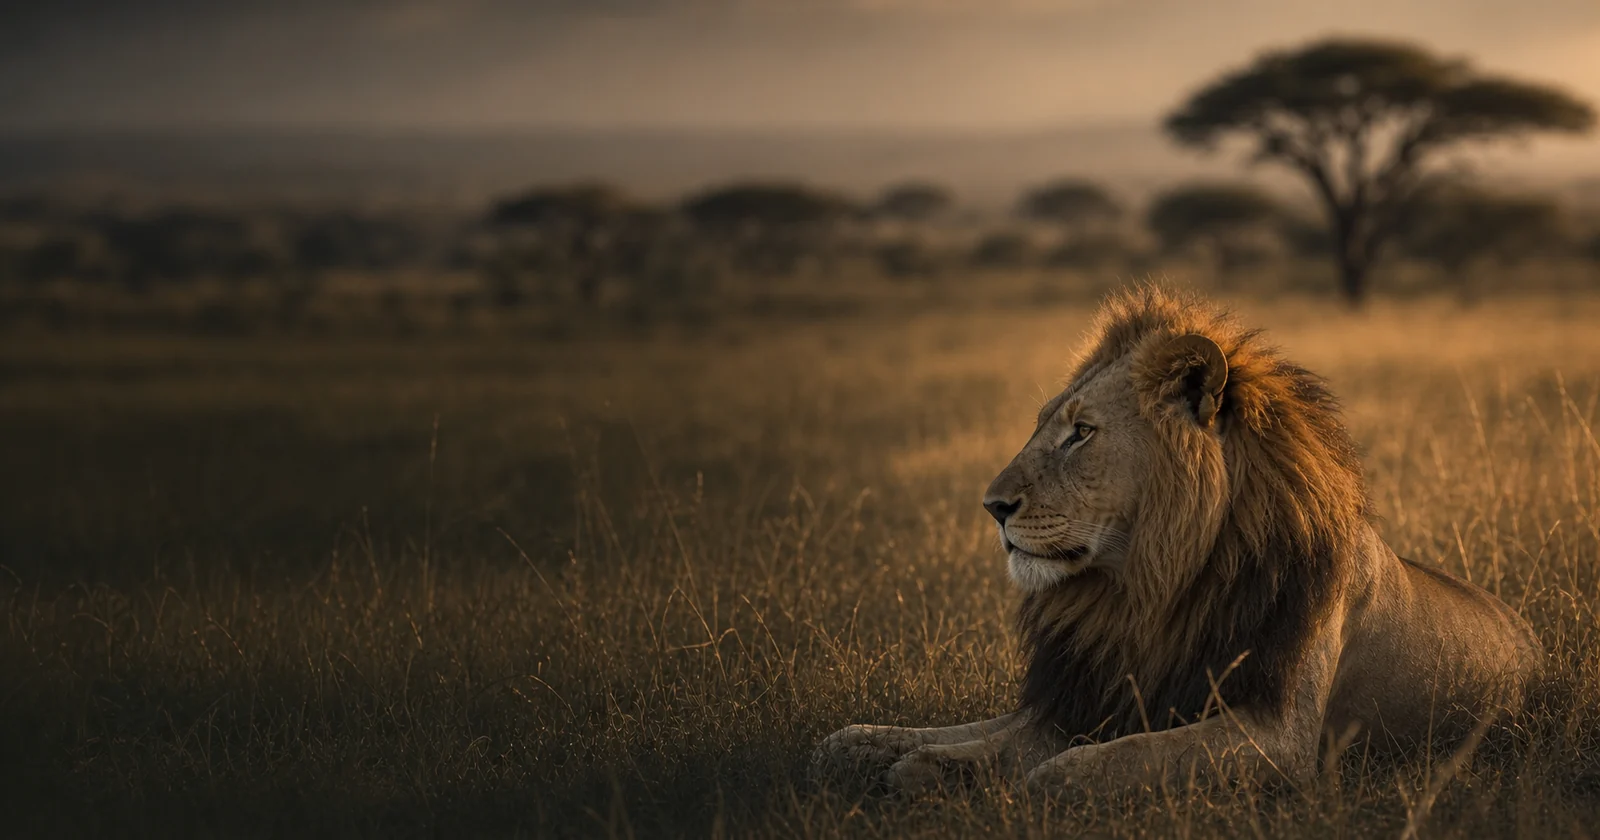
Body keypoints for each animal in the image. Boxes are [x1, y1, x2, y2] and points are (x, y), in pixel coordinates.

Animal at [813, 286, 1542, 799]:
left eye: (1082, 432)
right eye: (1043, 424)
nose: (992, 507)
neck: (1146, 591)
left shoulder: (1281, 733)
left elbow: (1115, 758)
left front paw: (1044, 783)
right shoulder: (1081, 696)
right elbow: (957, 739)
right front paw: (866, 747)